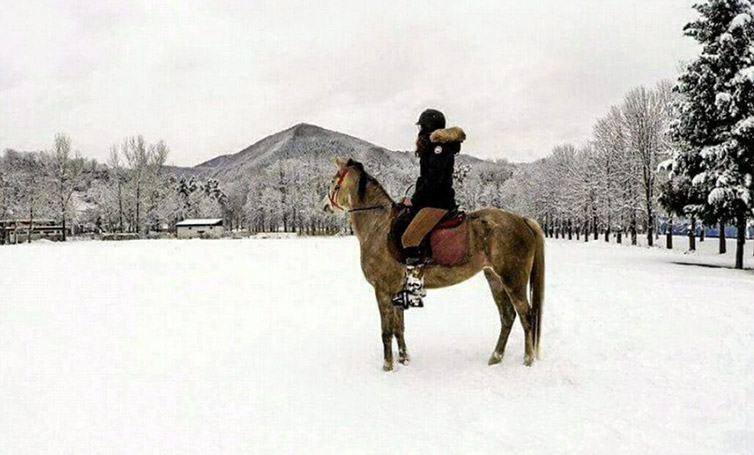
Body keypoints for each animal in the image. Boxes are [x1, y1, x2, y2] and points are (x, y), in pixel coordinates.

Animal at [320, 157, 544, 370]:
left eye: (332, 181)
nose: (324, 205)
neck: (379, 227)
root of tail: (521, 219)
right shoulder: (397, 291)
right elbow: (398, 329)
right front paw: (404, 359)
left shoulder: (383, 291)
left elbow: (386, 331)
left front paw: (388, 366)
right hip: (494, 278)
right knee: (507, 316)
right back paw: (495, 357)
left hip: (513, 281)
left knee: (526, 316)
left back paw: (527, 361)